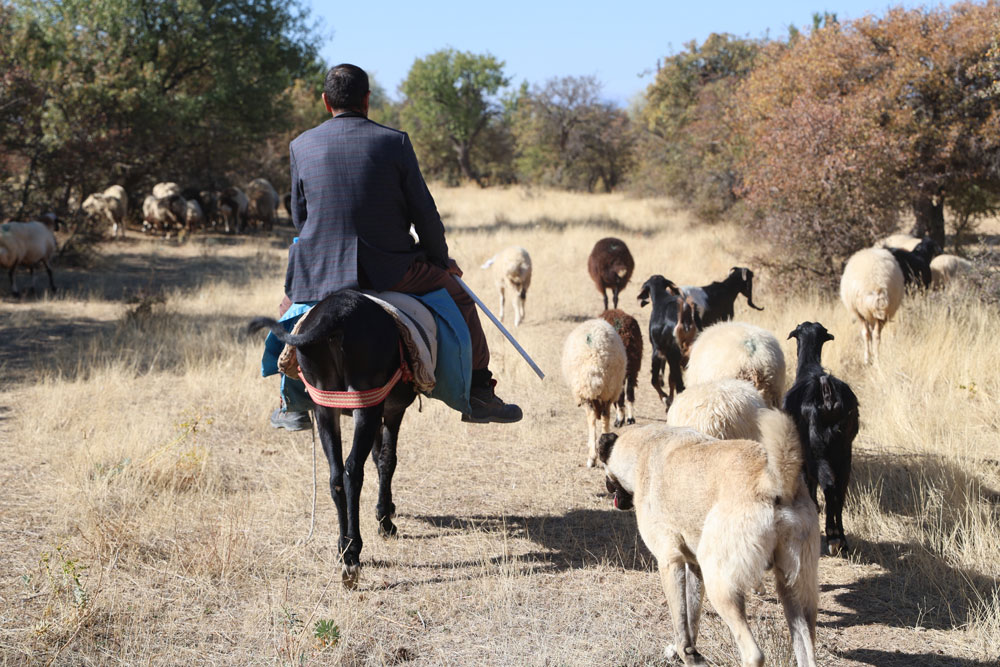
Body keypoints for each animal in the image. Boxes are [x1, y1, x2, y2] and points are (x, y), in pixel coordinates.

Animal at [256, 290, 420, 588]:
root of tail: (334, 315)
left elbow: (378, 457)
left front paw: (386, 509)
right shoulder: (392, 410)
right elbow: (387, 459)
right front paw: (385, 520)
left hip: (325, 406)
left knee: (335, 476)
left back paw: (343, 549)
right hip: (365, 403)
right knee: (352, 472)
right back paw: (353, 554)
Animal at [592, 410, 820, 664]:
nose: (607, 487)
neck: (643, 446)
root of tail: (773, 480)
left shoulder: (670, 562)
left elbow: (680, 622)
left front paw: (686, 654)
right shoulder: (694, 566)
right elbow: (691, 618)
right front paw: (687, 651)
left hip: (721, 586)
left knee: (754, 654)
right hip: (795, 591)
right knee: (807, 651)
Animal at [640, 274, 688, 410]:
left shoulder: (659, 353)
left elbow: (656, 380)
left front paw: (666, 398)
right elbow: (670, 379)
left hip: (666, 355)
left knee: (675, 383)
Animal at [780, 320, 860, 556]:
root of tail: (826, 390)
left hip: (816, 450)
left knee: (829, 485)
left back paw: (832, 536)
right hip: (843, 451)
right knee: (840, 489)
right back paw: (842, 540)